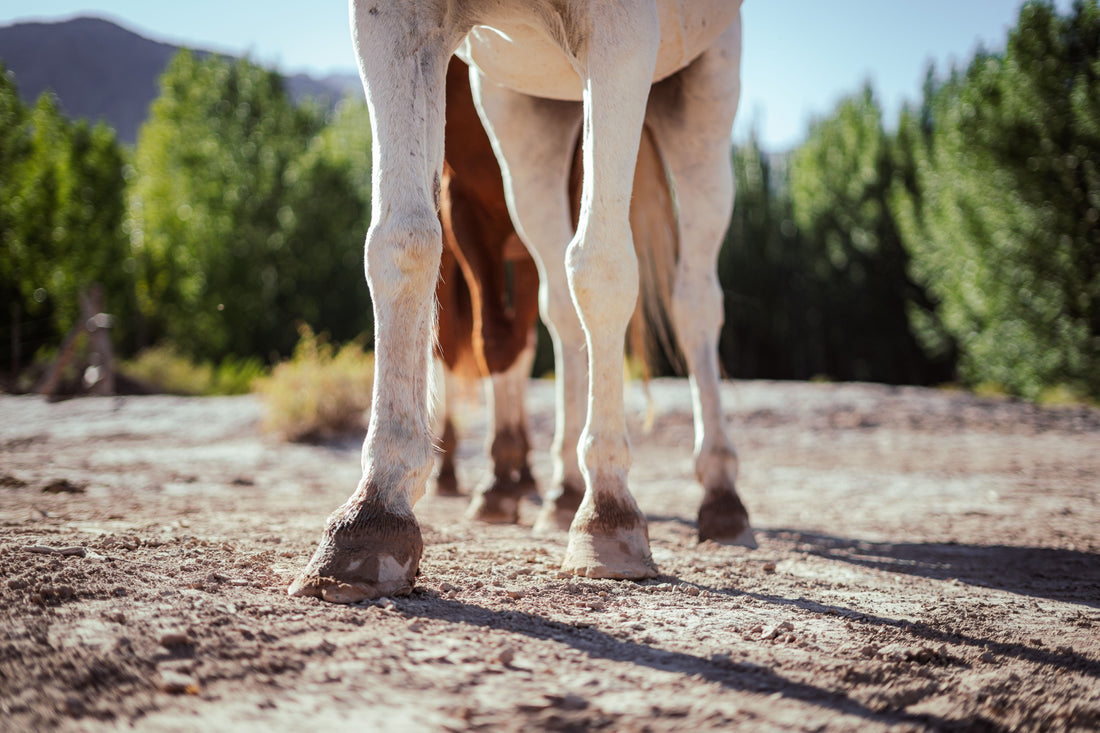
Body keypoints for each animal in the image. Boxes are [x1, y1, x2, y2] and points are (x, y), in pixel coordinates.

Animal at [290, 0, 751, 603]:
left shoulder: (624, 31)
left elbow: (602, 267)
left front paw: (608, 514)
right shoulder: (394, 23)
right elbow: (401, 244)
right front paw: (372, 517)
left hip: (702, 85)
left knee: (694, 300)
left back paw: (719, 493)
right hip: (529, 117)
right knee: (560, 306)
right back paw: (562, 490)